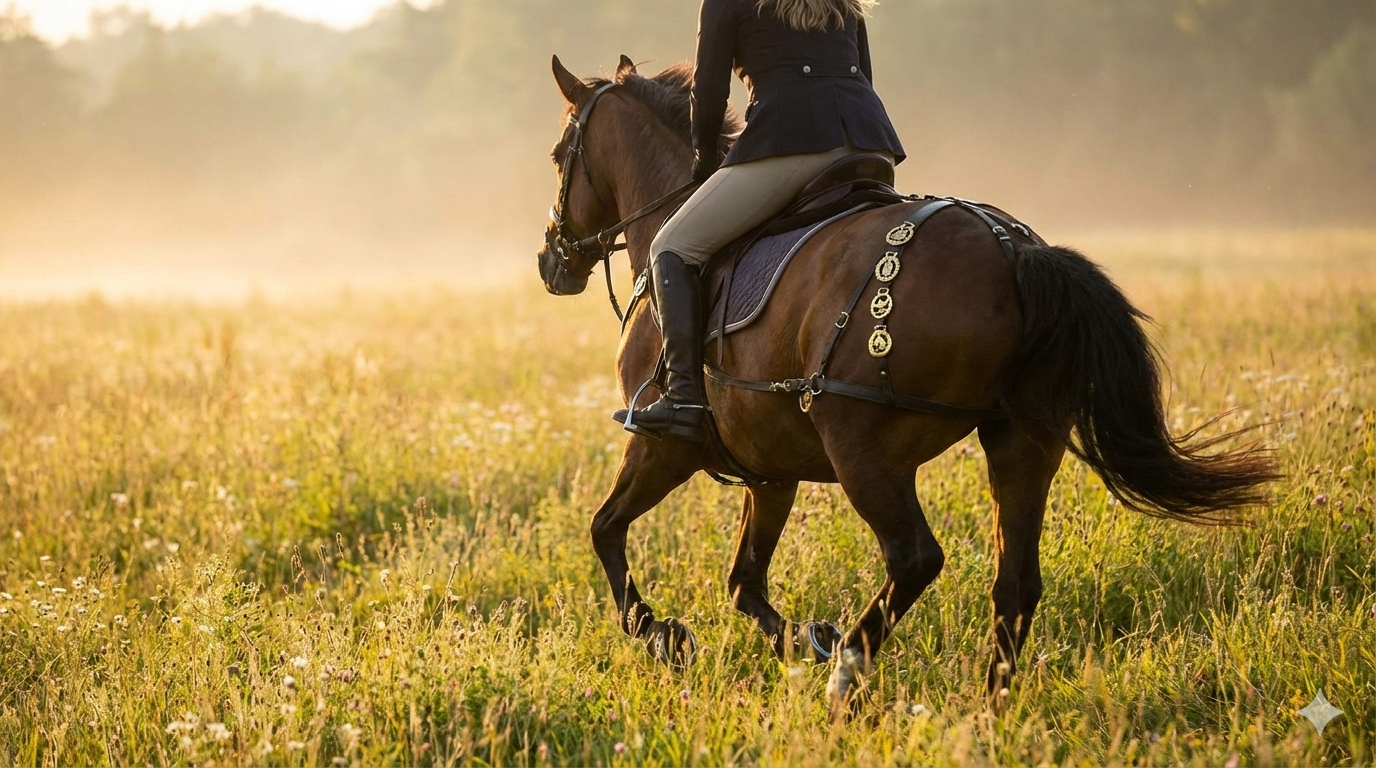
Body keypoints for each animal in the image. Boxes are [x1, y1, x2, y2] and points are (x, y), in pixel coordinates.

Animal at [535, 55, 1276, 716]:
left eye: (558, 154)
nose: (551, 260)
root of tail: (1012, 248)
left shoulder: (663, 446)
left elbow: (606, 532)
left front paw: (664, 635)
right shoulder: (770, 472)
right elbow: (743, 584)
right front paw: (802, 640)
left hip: (864, 453)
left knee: (915, 558)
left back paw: (848, 678)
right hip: (1021, 442)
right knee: (1015, 583)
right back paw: (987, 710)